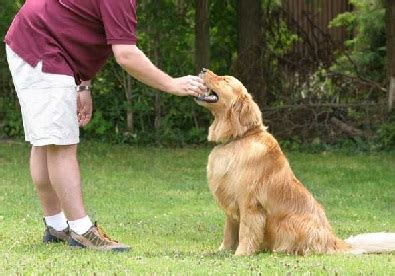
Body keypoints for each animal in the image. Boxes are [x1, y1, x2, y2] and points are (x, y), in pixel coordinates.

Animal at [196, 69, 395, 256]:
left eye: (225, 79)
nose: (203, 70)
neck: (237, 138)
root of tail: (335, 241)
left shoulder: (249, 203)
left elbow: (246, 232)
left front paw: (241, 253)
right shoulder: (231, 205)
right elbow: (229, 233)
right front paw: (222, 251)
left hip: (290, 222)